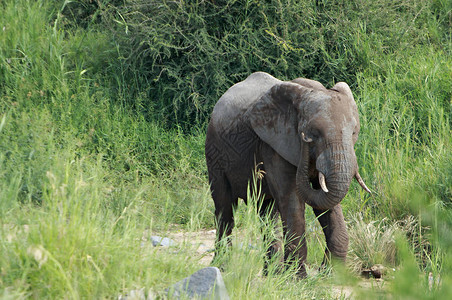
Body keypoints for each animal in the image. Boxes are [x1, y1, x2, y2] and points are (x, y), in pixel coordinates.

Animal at [206, 71, 370, 278]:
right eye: (313, 134)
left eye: (354, 132)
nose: (305, 140)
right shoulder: (273, 143)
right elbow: (292, 199)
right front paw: (297, 278)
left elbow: (326, 203)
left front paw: (330, 275)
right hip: (214, 152)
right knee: (224, 208)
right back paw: (222, 268)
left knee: (267, 212)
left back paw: (272, 274)